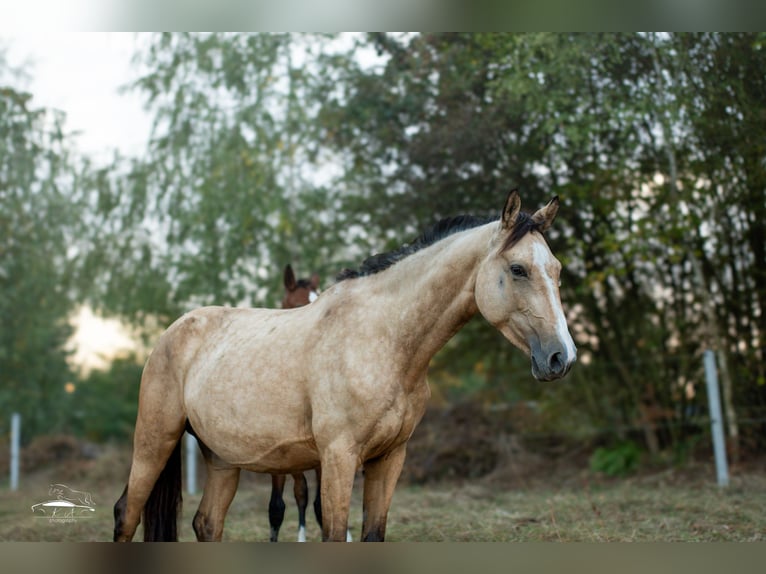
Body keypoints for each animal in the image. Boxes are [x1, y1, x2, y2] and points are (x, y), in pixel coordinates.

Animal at [113, 190, 576, 542]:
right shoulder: (337, 458)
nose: (562, 357)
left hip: (223, 460)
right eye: (517, 269)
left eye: (556, 270)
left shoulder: (389, 459)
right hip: (154, 442)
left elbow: (372, 534)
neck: (384, 338)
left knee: (207, 524)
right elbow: (333, 532)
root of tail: (173, 331)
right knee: (126, 513)